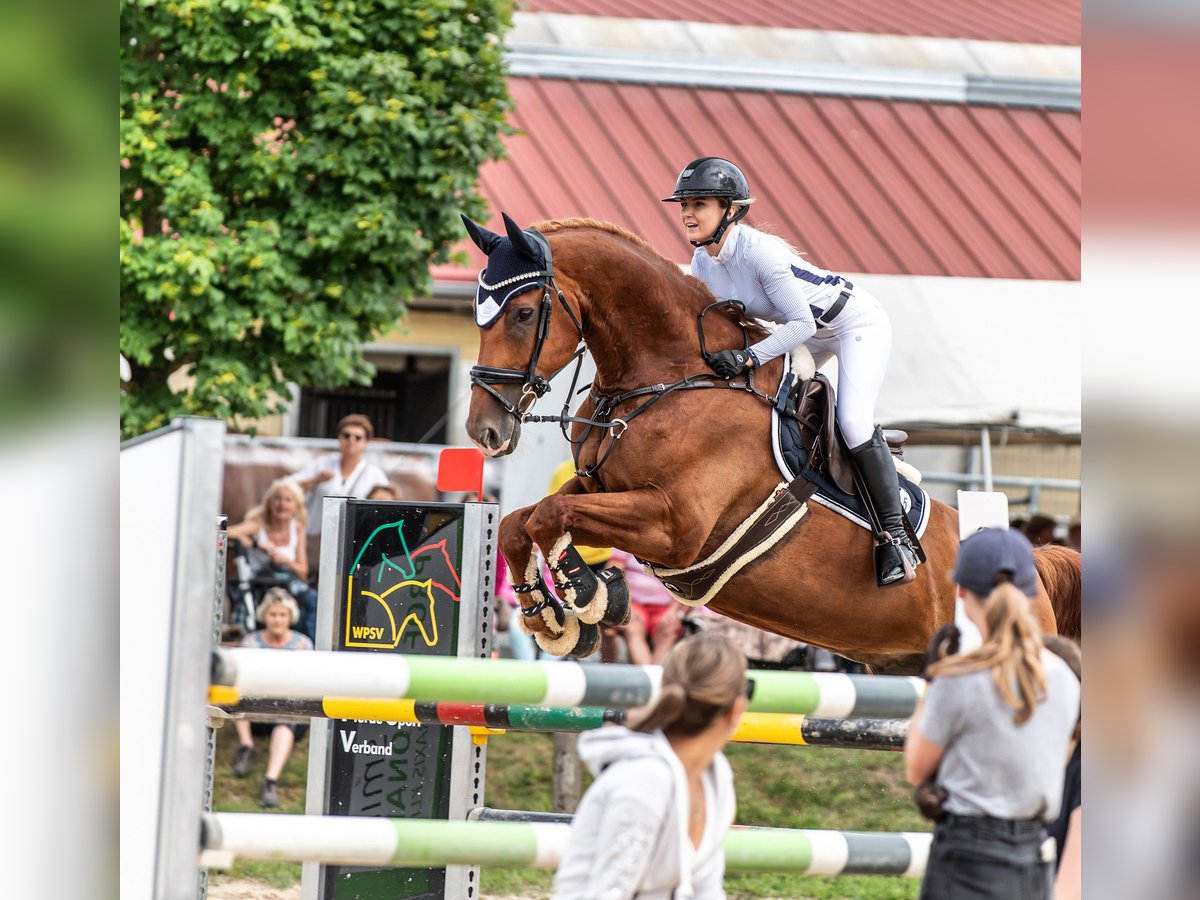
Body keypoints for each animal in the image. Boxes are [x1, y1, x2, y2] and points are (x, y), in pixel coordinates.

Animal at [465, 214, 1080, 672]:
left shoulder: (675, 526)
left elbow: (551, 516)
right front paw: (551, 619)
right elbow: (524, 520)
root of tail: (1035, 563)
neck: (673, 376)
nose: (482, 432)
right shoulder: (600, 486)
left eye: (523, 313)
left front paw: (593, 594)